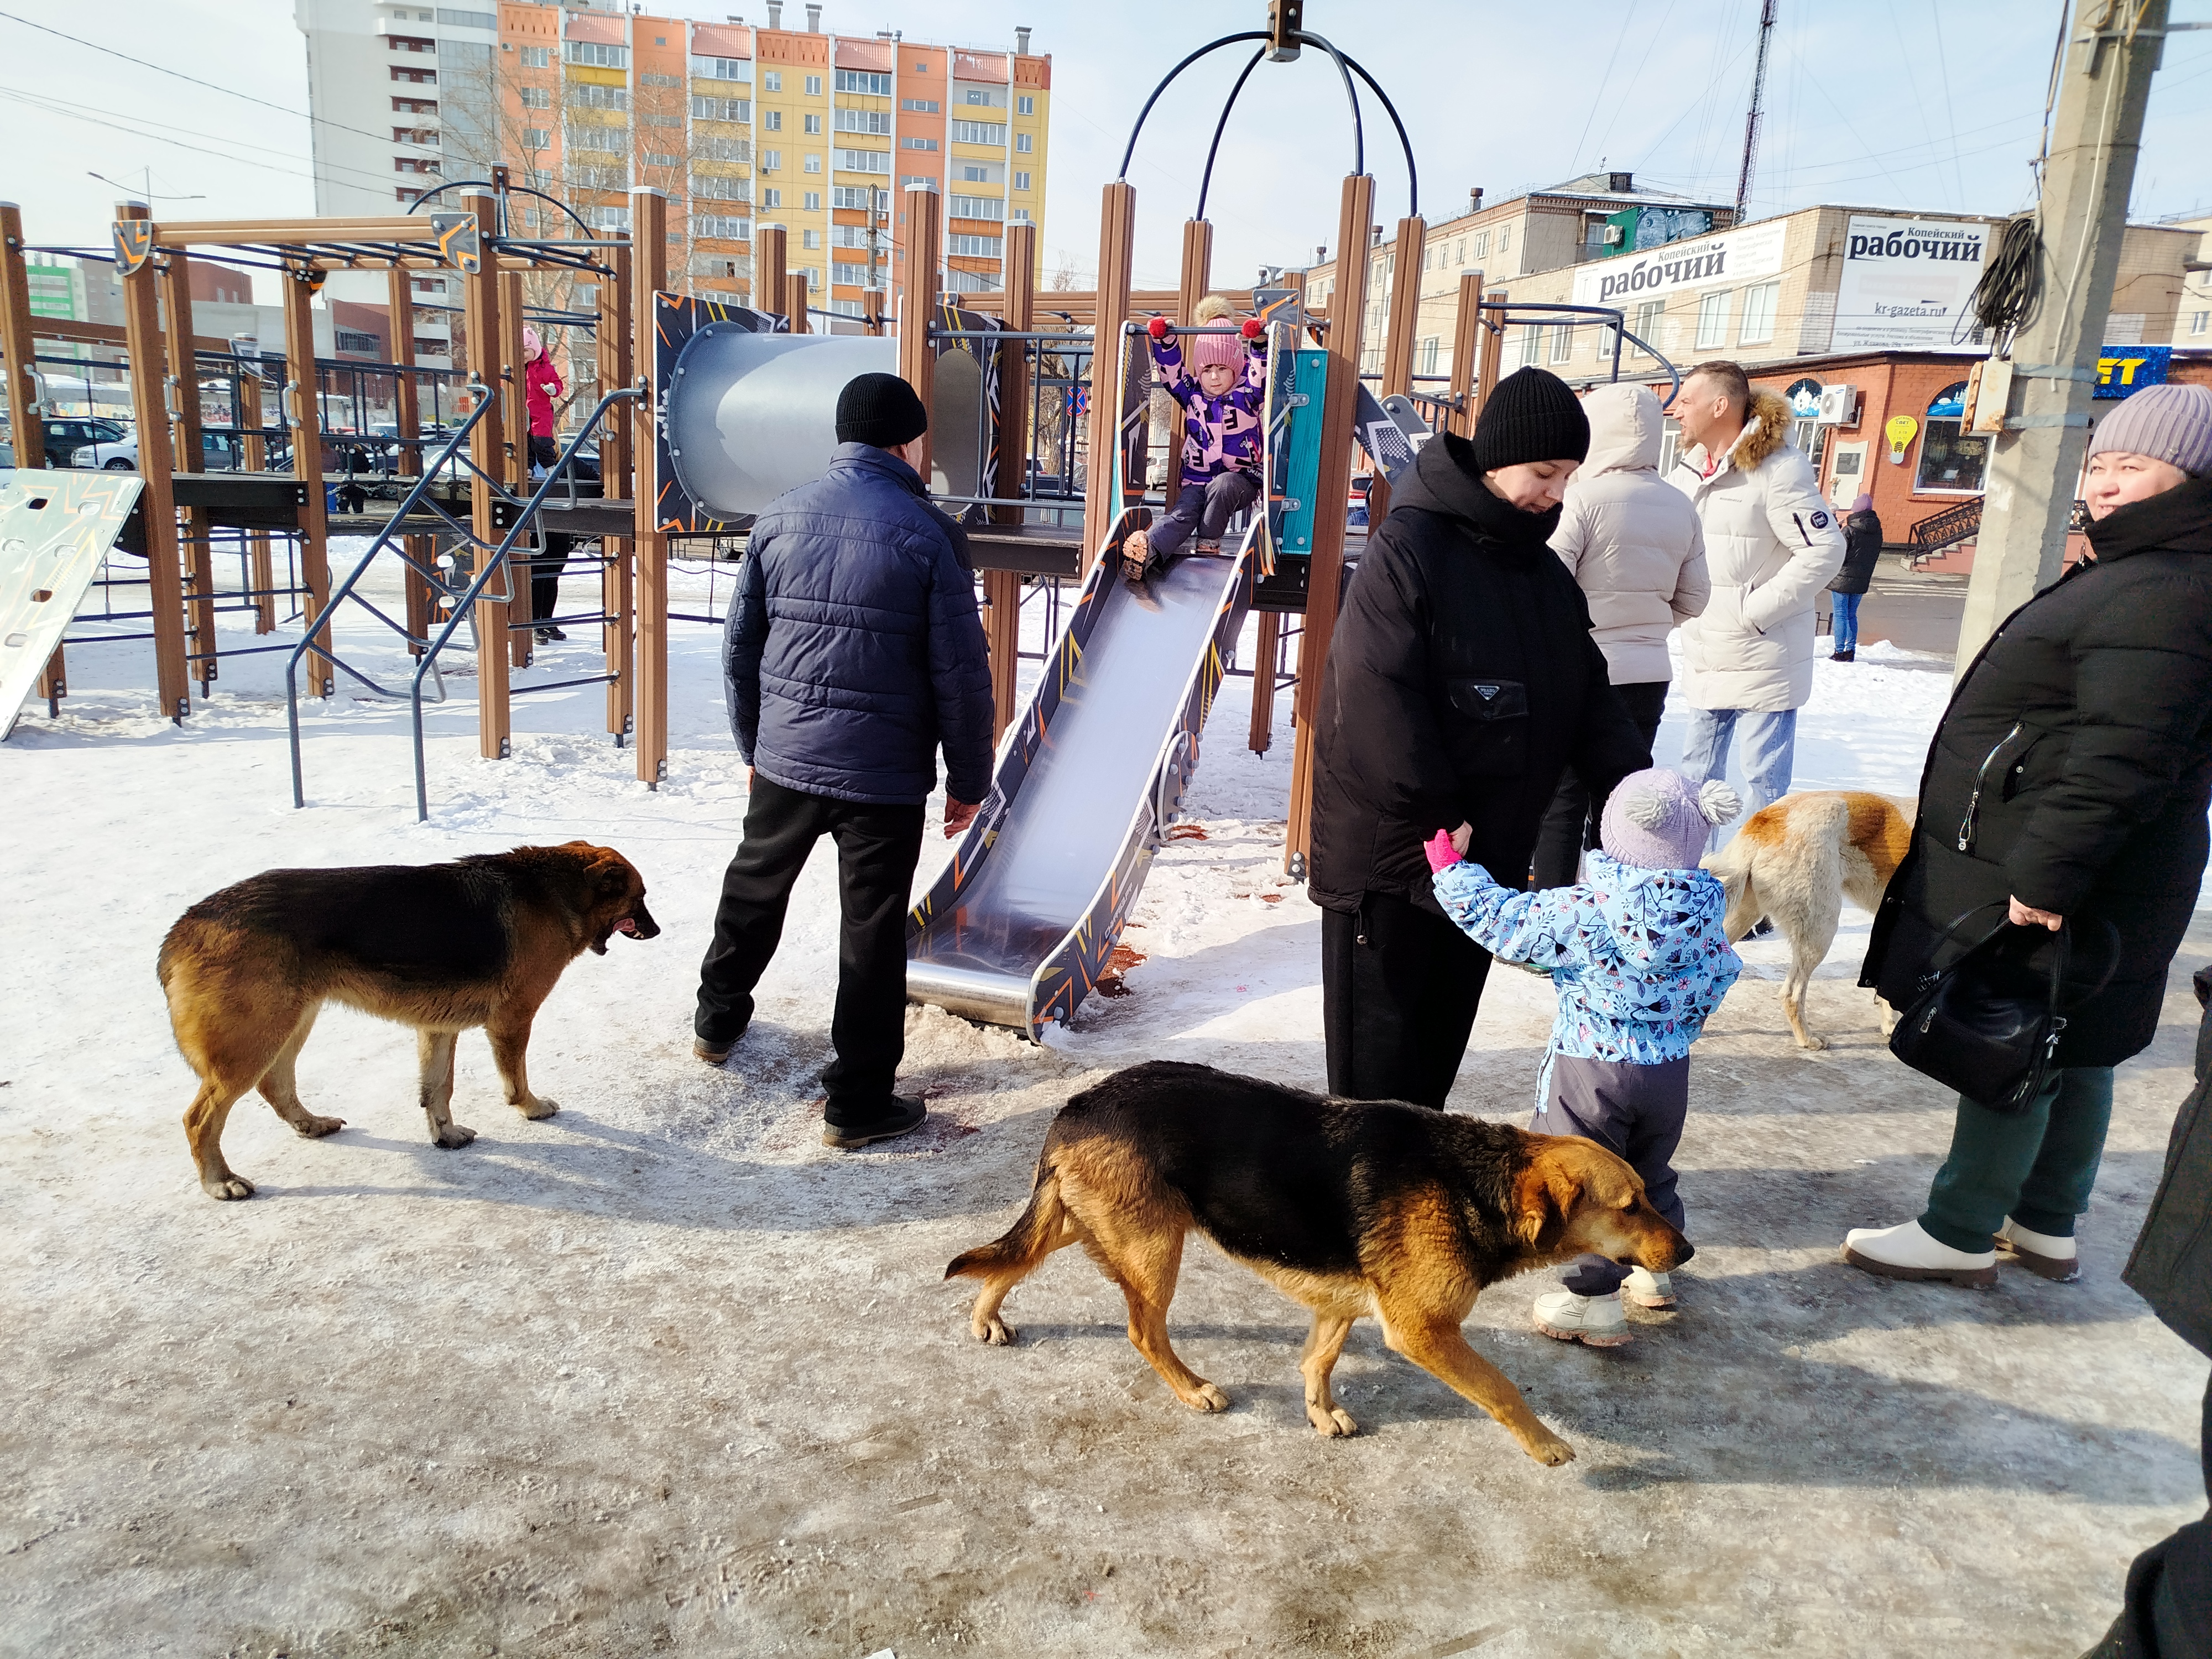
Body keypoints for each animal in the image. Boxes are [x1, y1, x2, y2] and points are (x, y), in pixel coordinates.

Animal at [159, 849, 655, 1203]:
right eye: (641, 898)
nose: (659, 932)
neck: (558, 892)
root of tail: (184, 926)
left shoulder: (438, 1029)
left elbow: (438, 1089)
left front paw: (446, 1135)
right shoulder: (512, 1020)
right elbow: (513, 1081)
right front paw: (530, 1108)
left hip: (290, 1024)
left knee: (275, 1085)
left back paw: (311, 1124)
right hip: (256, 1039)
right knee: (200, 1119)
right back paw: (220, 1182)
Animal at [942, 1066, 1681, 1469]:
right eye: (1631, 1205)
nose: (1688, 1251)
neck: (1475, 1183)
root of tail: (1076, 1106)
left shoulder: (1342, 1304)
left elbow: (1318, 1362)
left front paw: (1322, 1416)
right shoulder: (1424, 1332)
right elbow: (1500, 1388)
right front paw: (1547, 1446)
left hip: (1084, 1221)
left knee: (1009, 1259)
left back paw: (986, 1317)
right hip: (1153, 1249)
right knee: (1142, 1331)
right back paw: (1192, 1390)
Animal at [1699, 792, 1911, 1053]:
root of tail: (1767, 820)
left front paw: (1889, 1024)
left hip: (1741, 916)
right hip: (1820, 929)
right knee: (1791, 995)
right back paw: (1807, 1040)